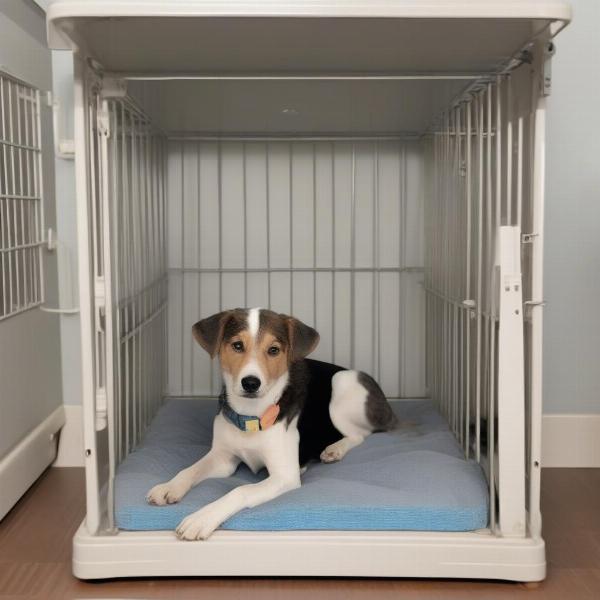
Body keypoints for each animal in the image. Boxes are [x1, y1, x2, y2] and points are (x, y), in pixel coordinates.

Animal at [146, 310, 398, 540]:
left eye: (274, 350)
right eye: (237, 345)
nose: (250, 383)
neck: (250, 417)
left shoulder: (285, 475)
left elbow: (240, 490)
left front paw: (202, 518)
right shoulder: (222, 458)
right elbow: (190, 470)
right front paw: (169, 487)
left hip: (342, 384)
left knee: (360, 434)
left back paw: (334, 449)